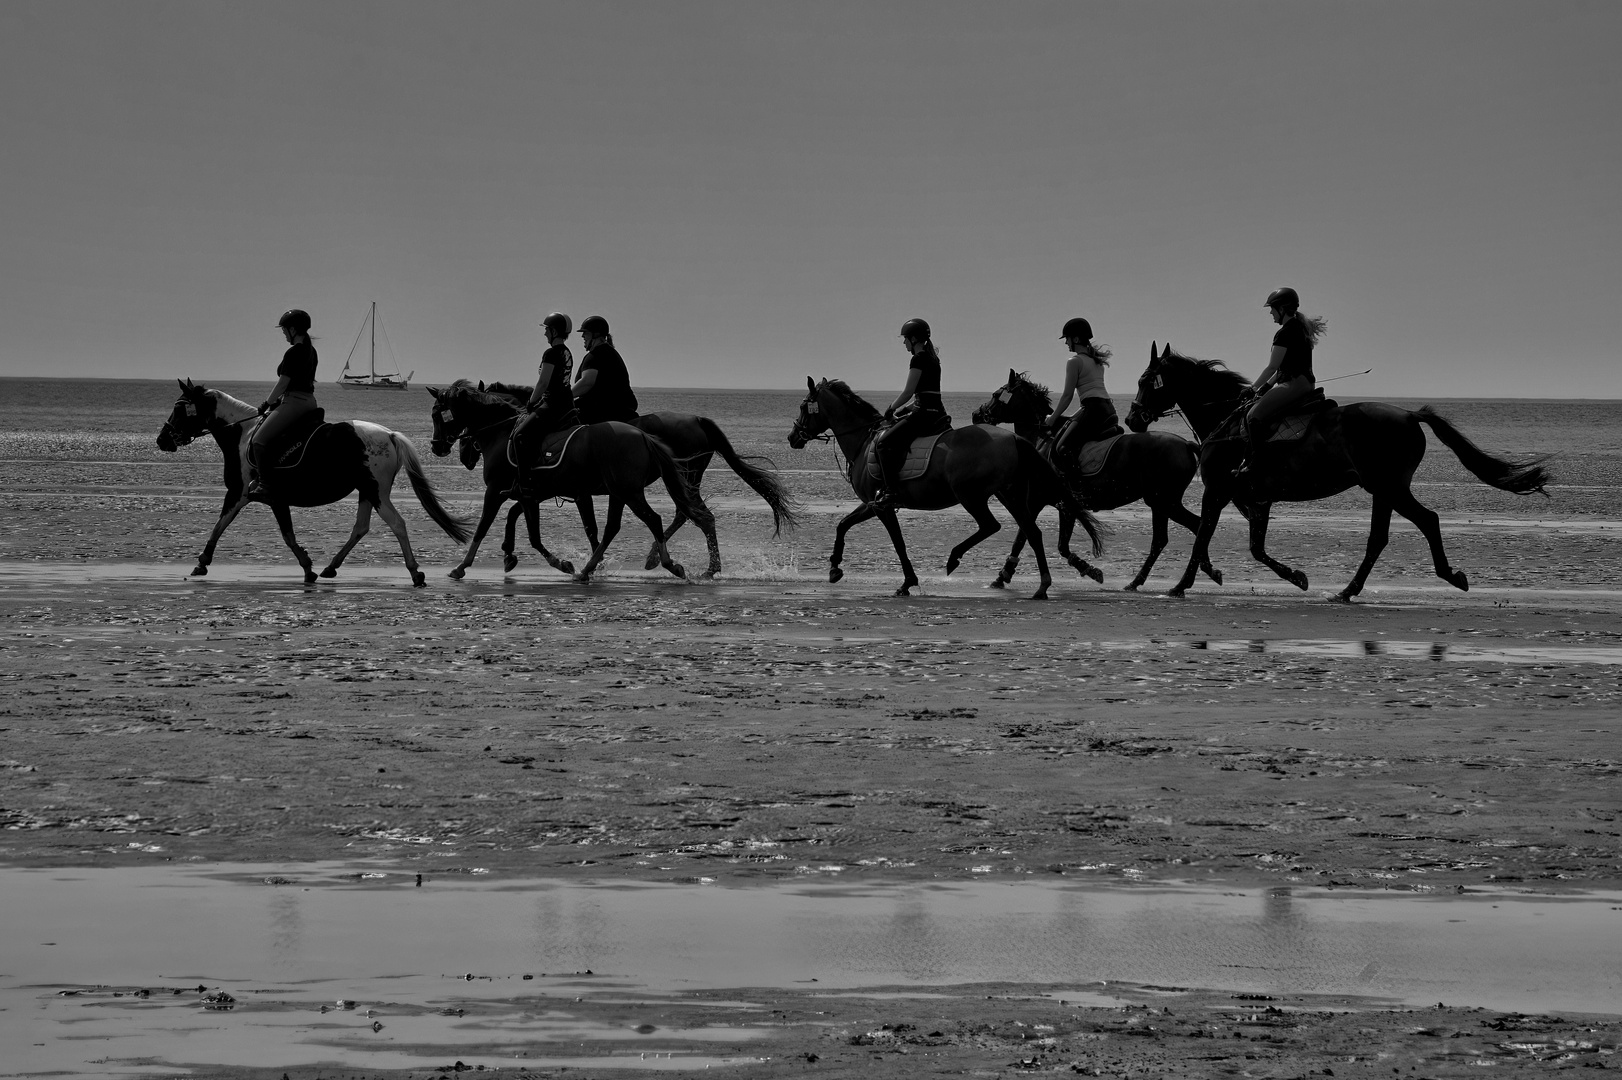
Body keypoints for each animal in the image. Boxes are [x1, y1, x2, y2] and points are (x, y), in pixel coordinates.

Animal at [155, 376, 473, 580]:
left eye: (179, 407)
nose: (162, 439)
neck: (242, 435)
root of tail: (390, 435)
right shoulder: (268, 498)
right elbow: (280, 533)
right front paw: (309, 567)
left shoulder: (243, 492)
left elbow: (224, 526)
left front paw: (202, 563)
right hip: (366, 491)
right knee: (361, 527)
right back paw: (331, 567)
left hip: (376, 491)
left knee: (397, 524)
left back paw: (415, 571)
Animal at [428, 381, 794, 577]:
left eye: (439, 415)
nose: (441, 449)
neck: (507, 430)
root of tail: (697, 419)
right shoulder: (539, 492)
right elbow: (526, 524)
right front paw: (512, 555)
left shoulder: (507, 491)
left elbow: (489, 525)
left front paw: (464, 565)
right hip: (649, 485)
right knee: (685, 514)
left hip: (659, 483)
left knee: (686, 515)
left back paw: (690, 564)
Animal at [785, 376, 1102, 596]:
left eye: (802, 406)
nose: (792, 437)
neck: (865, 440)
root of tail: (1013, 438)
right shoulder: (872, 503)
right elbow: (843, 524)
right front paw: (834, 568)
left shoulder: (882, 507)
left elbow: (898, 543)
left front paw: (907, 582)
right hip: (1011, 495)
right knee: (1031, 532)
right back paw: (1042, 587)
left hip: (971, 495)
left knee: (991, 526)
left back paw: (954, 558)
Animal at [973, 368, 1219, 590]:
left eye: (996, 395)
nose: (976, 415)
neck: (1041, 441)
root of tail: (1185, 444)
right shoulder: (1053, 505)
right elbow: (1043, 541)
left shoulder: (1043, 502)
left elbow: (1034, 539)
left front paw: (1004, 575)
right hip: (1159, 503)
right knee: (1163, 539)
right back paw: (1139, 581)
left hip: (1165, 501)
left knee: (1196, 526)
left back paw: (1194, 576)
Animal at [1128, 342, 1544, 596]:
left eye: (1146, 380)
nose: (1132, 420)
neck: (1226, 419)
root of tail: (1409, 415)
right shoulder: (1253, 499)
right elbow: (1254, 547)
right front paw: (1296, 577)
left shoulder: (1218, 489)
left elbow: (1203, 536)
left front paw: (1182, 585)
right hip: (1384, 489)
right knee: (1385, 536)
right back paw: (1350, 590)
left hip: (1389, 487)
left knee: (1426, 521)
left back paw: (1446, 576)